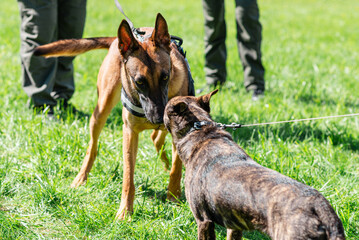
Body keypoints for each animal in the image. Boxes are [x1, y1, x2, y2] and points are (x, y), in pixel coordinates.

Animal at [35, 13, 194, 219]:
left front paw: (173, 198)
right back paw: (81, 178)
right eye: (139, 82)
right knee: (92, 148)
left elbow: (176, 168)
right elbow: (128, 177)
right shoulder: (129, 133)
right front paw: (125, 212)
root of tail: (120, 41)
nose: (158, 118)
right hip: (101, 109)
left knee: (157, 138)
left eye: (165, 77)